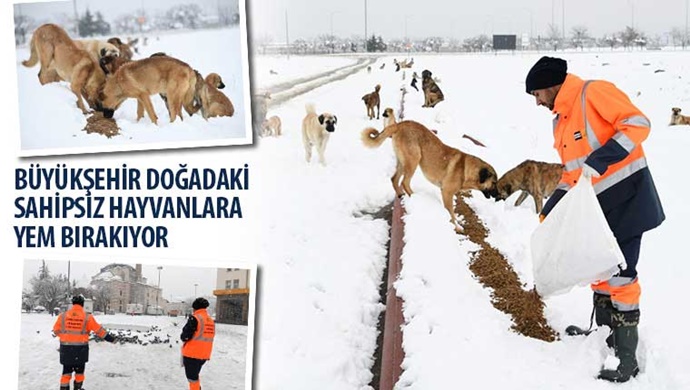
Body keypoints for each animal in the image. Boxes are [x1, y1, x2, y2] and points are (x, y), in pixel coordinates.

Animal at [360, 120, 494, 232]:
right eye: (494, 183)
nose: (498, 197)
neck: (467, 169)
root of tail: (399, 124)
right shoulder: (447, 193)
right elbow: (451, 212)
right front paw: (456, 227)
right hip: (414, 158)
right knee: (404, 182)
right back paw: (415, 197)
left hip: (403, 163)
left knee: (394, 179)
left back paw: (401, 194)